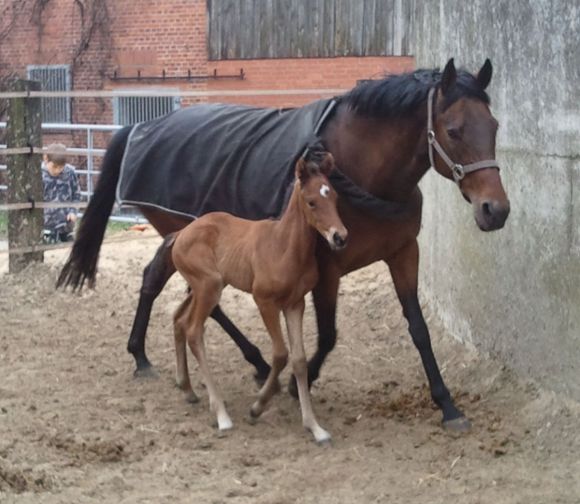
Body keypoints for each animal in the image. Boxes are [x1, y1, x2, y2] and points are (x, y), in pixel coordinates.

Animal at [170, 149, 346, 440]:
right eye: (311, 202)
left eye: (333, 196)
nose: (340, 237)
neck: (284, 246)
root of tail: (181, 233)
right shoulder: (264, 301)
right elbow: (281, 353)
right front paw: (257, 406)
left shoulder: (295, 304)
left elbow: (299, 359)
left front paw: (315, 427)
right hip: (209, 286)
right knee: (194, 330)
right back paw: (221, 414)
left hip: (204, 287)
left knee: (179, 320)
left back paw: (188, 389)